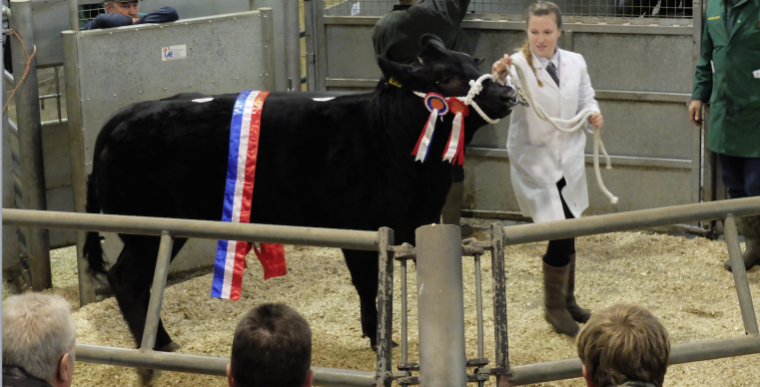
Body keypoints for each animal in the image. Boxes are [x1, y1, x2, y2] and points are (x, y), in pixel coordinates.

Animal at [86, 37, 520, 352]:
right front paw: (378, 339)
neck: (391, 134)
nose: (507, 95)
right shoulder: (361, 227)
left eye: (474, 65)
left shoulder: (418, 220)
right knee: (126, 278)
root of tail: (128, 113)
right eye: (445, 79)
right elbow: (370, 284)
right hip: (146, 228)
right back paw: (161, 344)